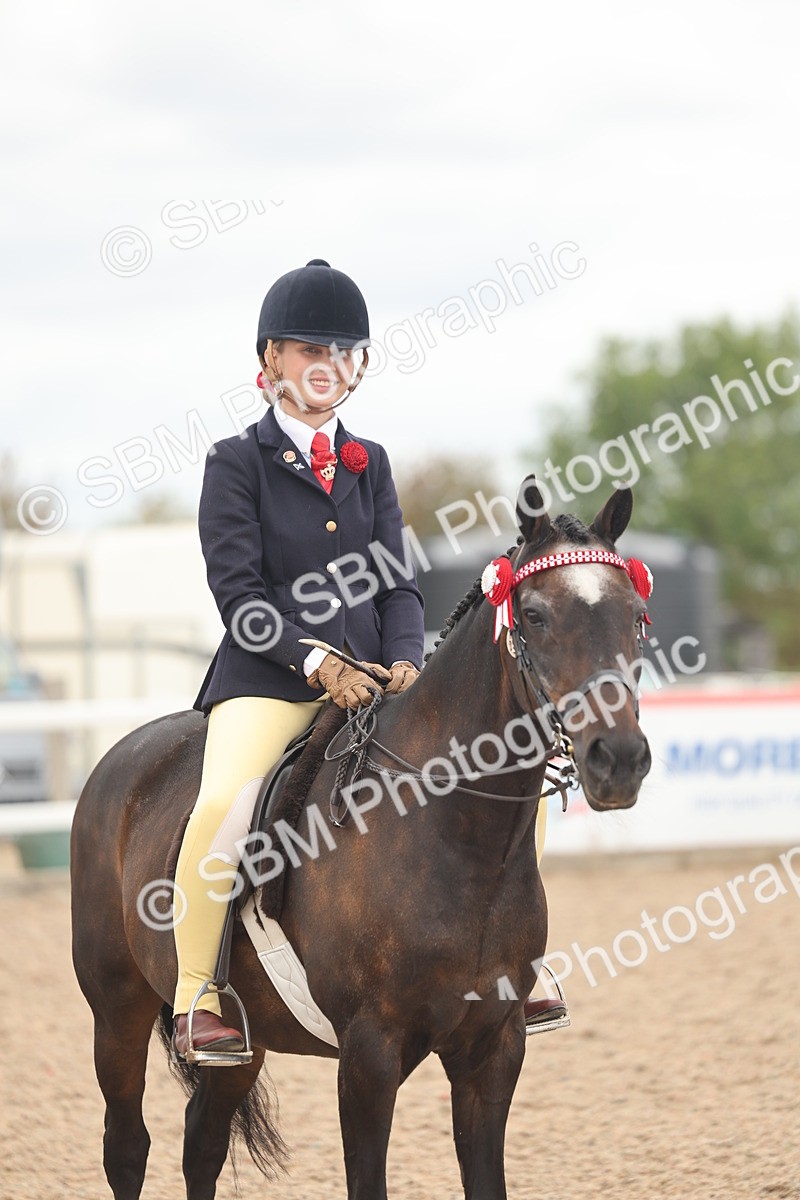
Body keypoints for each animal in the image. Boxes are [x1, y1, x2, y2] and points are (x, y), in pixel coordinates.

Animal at [71, 477, 652, 1200]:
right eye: (536, 615)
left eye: (636, 616)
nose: (619, 759)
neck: (453, 843)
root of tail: (122, 756)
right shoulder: (369, 1054)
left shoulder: (494, 1047)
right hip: (115, 1009)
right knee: (127, 1146)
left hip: (245, 1042)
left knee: (201, 1142)